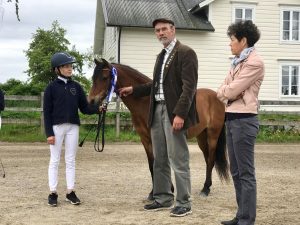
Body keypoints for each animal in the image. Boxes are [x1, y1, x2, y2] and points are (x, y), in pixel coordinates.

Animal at [88, 58, 229, 199]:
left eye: (105, 77)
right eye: (93, 77)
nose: (91, 101)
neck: (145, 102)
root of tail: (216, 97)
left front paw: (168, 190)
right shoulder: (145, 139)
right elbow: (152, 164)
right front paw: (153, 193)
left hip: (213, 135)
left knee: (211, 159)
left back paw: (205, 189)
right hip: (201, 136)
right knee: (207, 159)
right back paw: (206, 187)